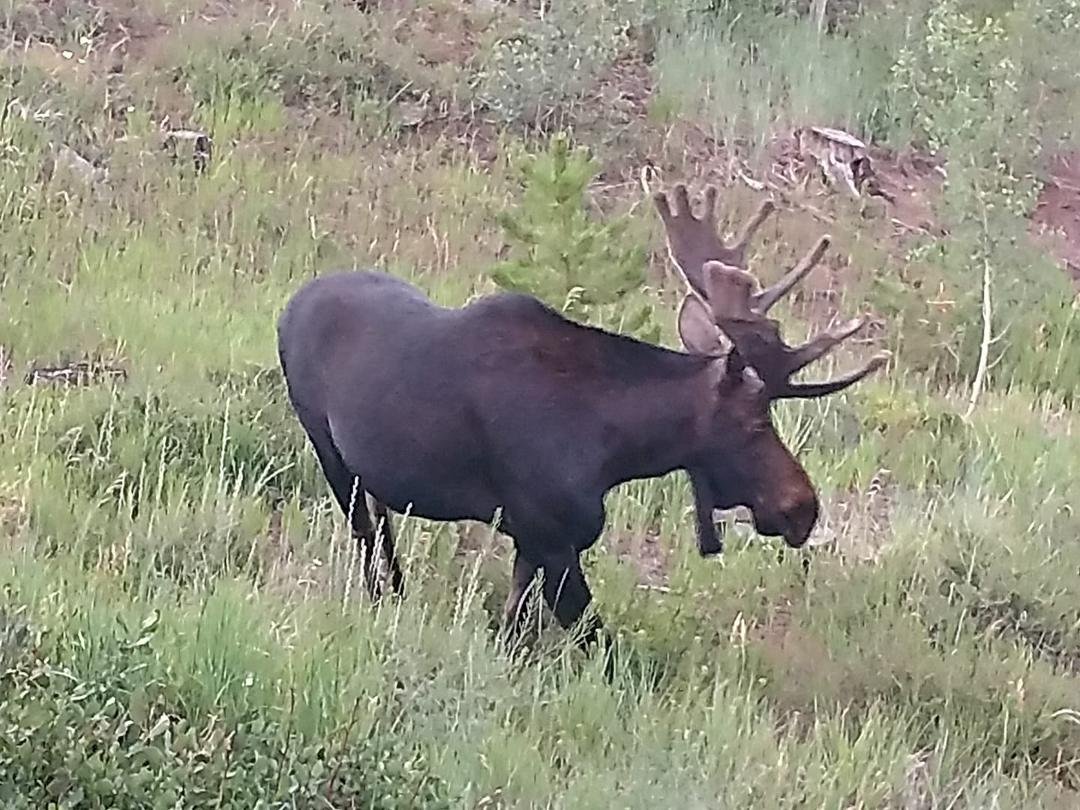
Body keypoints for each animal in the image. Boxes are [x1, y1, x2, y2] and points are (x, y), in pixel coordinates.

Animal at [275, 182, 889, 655]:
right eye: (755, 423)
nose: (803, 508)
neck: (613, 448)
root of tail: (290, 305)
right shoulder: (550, 536)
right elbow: (601, 645)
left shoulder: (530, 539)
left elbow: (513, 625)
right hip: (328, 450)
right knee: (365, 534)